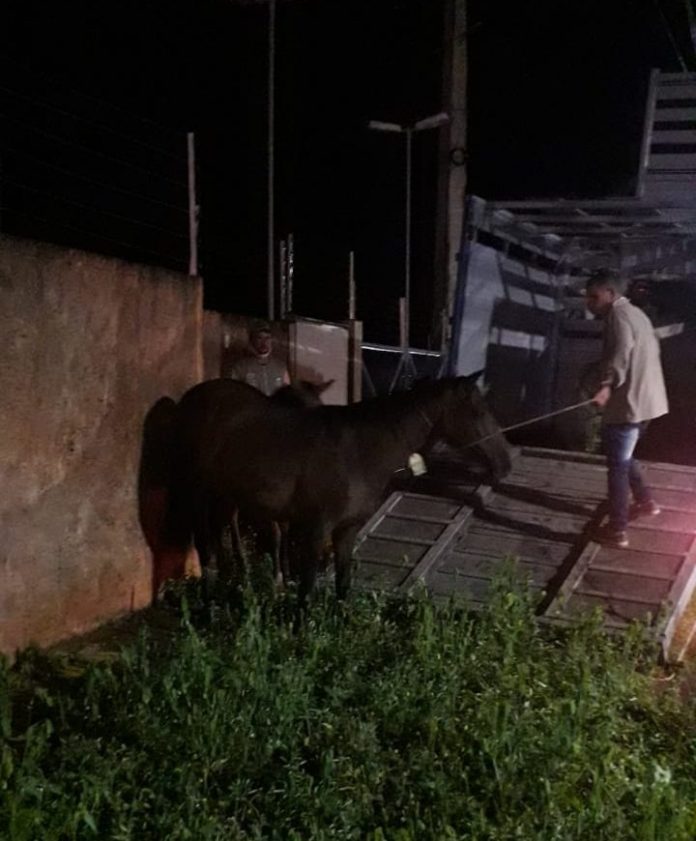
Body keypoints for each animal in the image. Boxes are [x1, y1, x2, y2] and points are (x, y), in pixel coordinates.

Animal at [171, 376, 512, 604]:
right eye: (477, 411)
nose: (505, 463)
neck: (361, 450)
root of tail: (193, 396)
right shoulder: (316, 529)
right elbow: (307, 591)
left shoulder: (347, 530)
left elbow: (343, 586)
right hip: (198, 493)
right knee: (204, 544)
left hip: (224, 495)